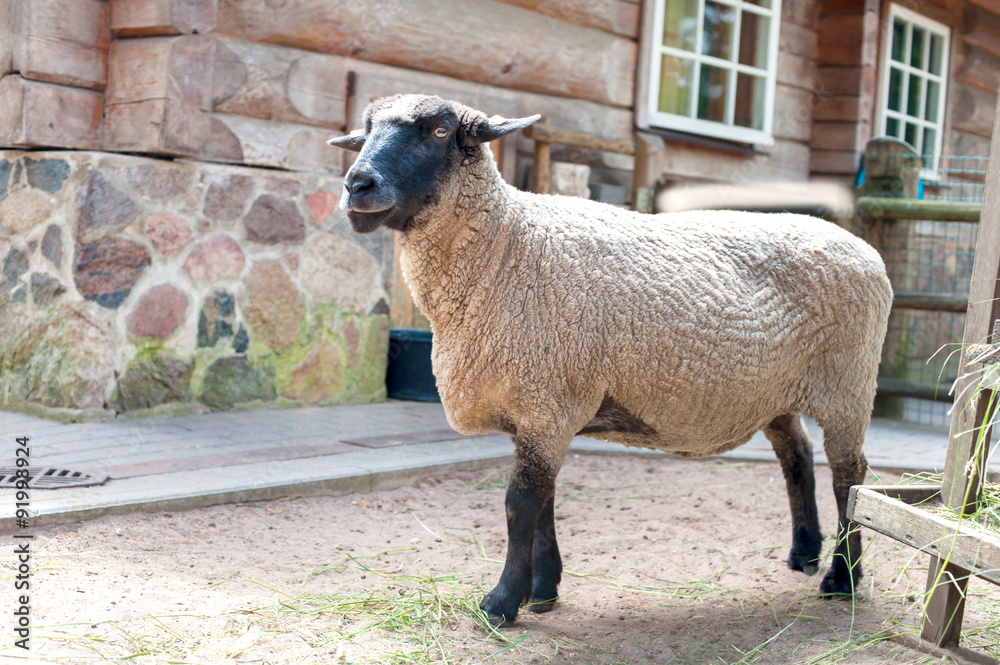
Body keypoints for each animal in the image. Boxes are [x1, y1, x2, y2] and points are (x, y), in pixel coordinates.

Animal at [328, 94, 893, 626]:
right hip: (774, 391)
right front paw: (543, 590)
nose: (356, 185)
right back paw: (804, 553)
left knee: (851, 479)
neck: (506, 247)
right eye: (367, 131)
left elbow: (520, 504)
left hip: (848, 384)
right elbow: (545, 502)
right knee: (796, 457)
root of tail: (863, 248)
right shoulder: (538, 410)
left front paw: (502, 602)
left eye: (441, 131)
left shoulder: (547, 403)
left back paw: (843, 578)